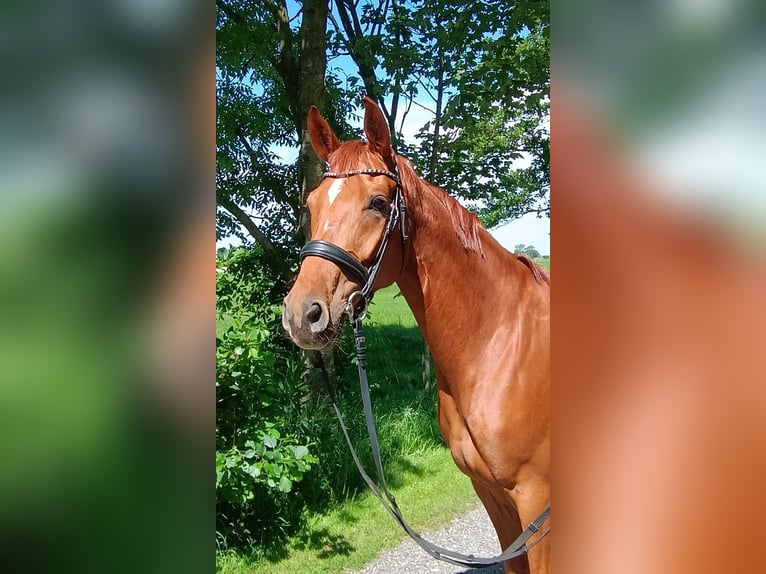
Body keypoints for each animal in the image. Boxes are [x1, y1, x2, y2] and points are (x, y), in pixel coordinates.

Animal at [282, 99, 552, 574]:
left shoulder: (536, 502)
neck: (499, 346)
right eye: (311, 203)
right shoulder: (495, 499)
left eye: (377, 202)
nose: (302, 314)